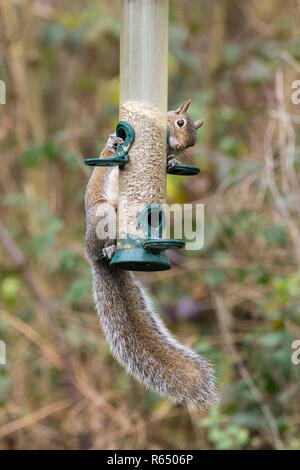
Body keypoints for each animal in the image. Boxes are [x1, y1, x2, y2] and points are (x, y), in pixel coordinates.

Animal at [84, 99, 218, 408]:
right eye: (180, 123)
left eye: (194, 139)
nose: (179, 147)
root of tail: (95, 258)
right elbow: (109, 153)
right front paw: (114, 141)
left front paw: (170, 162)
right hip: (102, 216)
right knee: (103, 241)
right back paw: (109, 247)